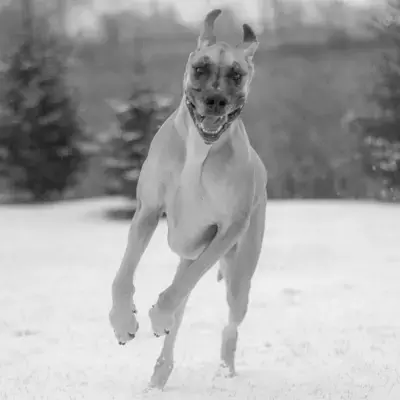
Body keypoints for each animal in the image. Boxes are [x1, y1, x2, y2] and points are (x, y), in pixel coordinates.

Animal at [108, 8, 268, 390]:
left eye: (236, 74)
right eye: (200, 68)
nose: (215, 100)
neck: (200, 146)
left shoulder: (228, 229)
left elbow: (180, 288)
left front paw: (155, 315)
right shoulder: (148, 211)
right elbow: (123, 274)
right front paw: (123, 322)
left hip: (239, 275)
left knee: (223, 319)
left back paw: (223, 369)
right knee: (179, 306)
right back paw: (159, 373)